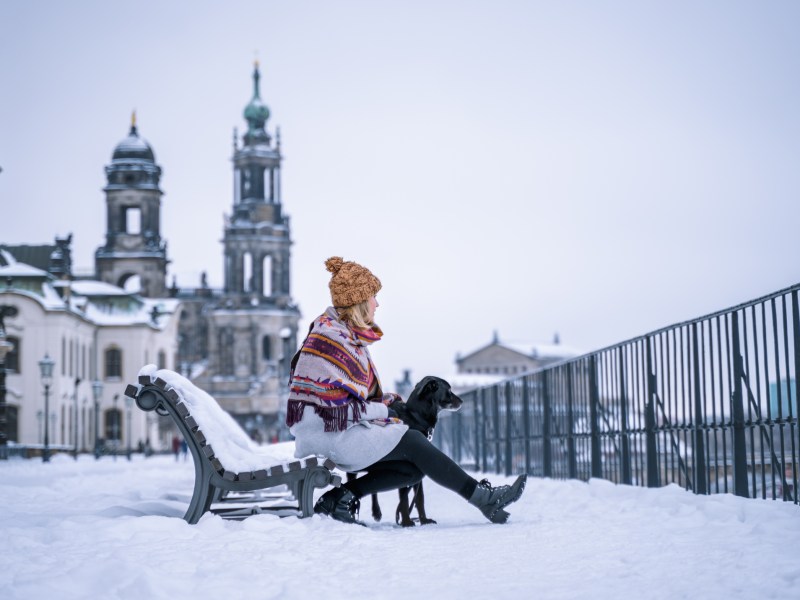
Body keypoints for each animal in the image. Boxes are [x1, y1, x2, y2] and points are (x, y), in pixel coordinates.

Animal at [350, 378, 462, 528]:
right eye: (449, 390)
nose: (461, 401)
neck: (415, 416)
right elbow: (404, 500)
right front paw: (407, 522)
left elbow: (419, 498)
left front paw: (424, 520)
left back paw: (376, 511)